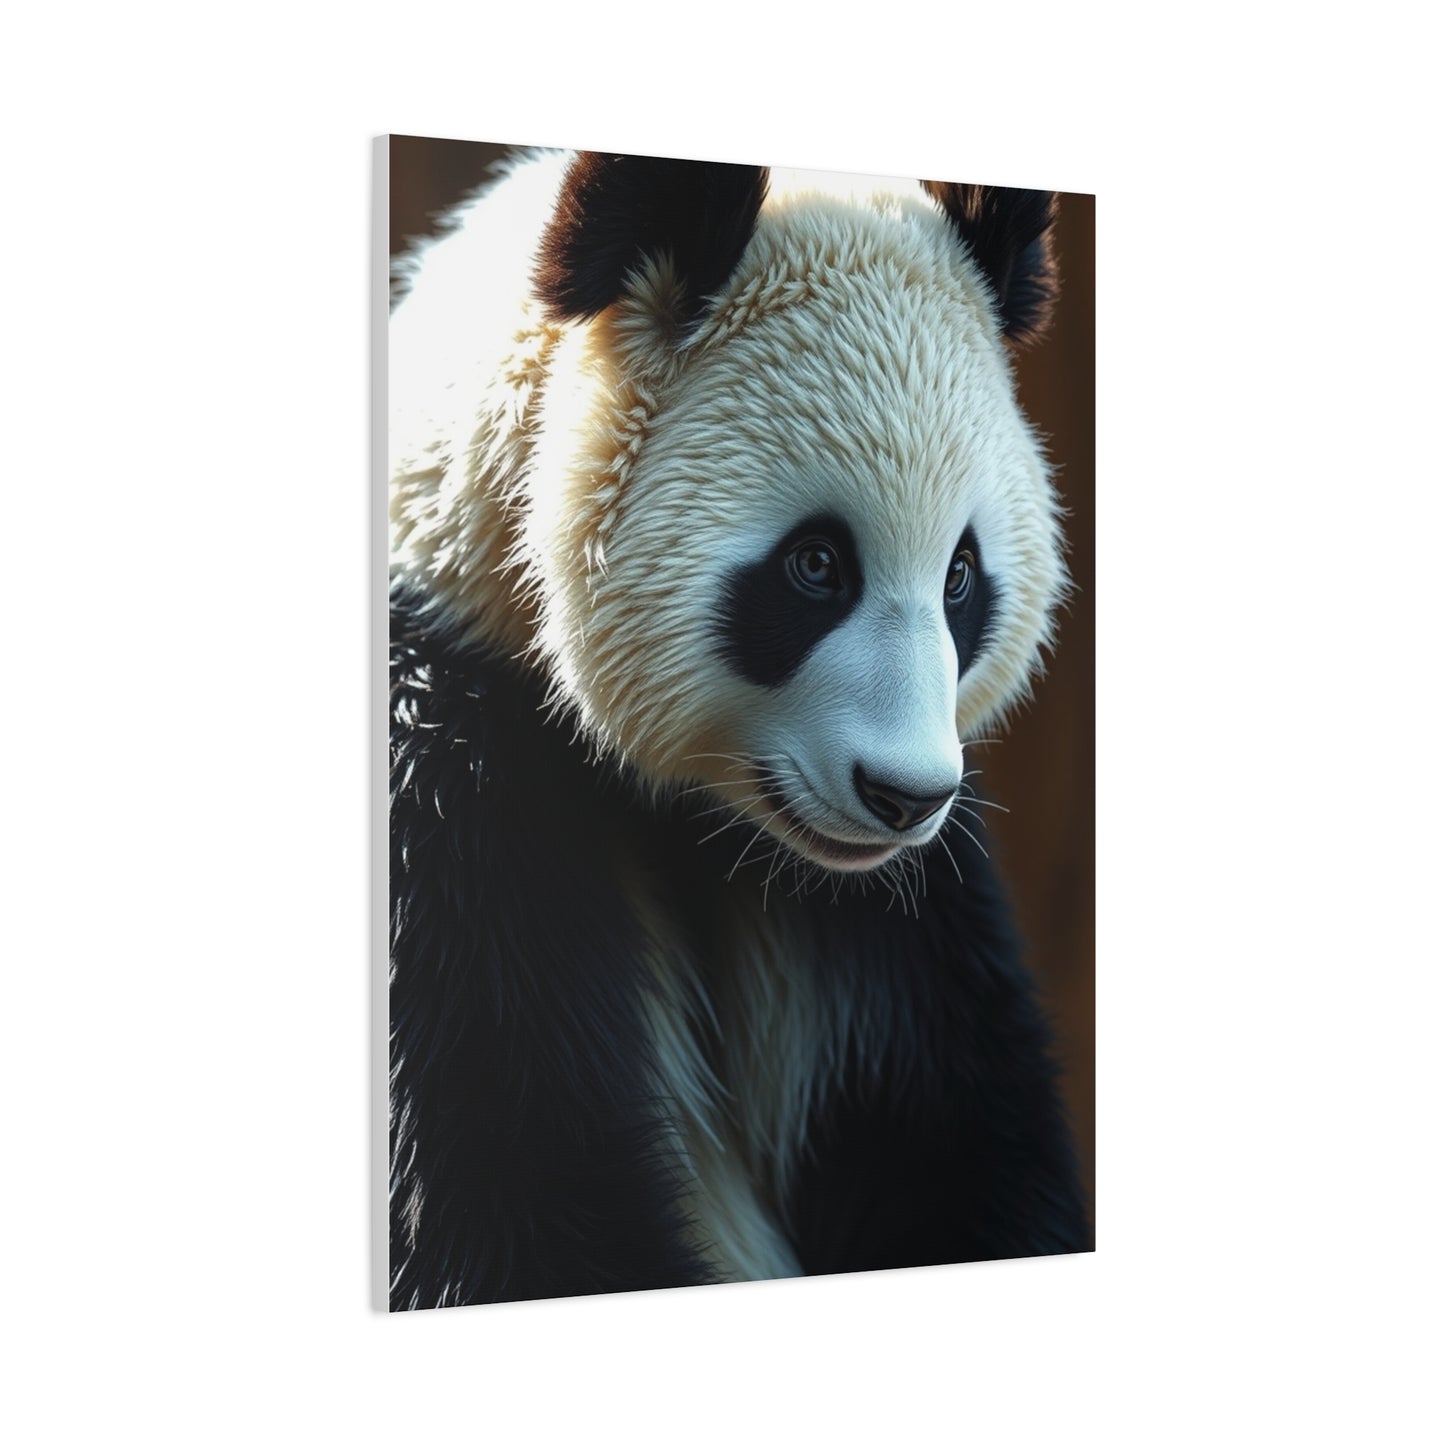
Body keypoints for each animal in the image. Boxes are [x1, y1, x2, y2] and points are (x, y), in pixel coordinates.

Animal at [389, 147, 1090, 1309]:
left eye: (961, 575)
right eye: (815, 565)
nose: (904, 797)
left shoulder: (890, 923)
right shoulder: (449, 794)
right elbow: (507, 1191)